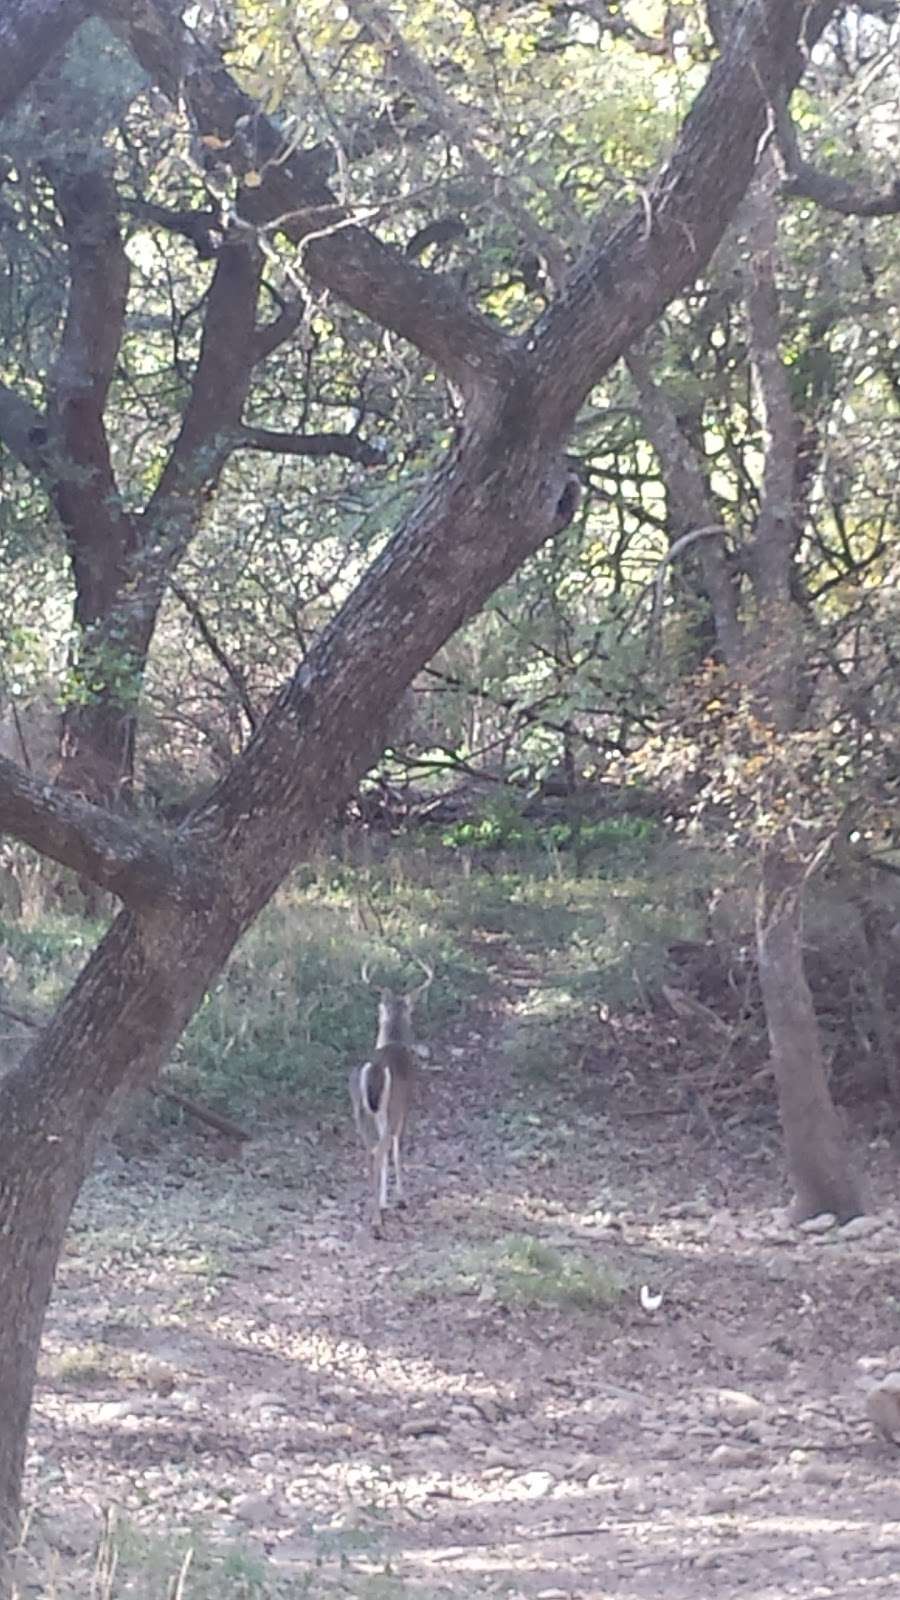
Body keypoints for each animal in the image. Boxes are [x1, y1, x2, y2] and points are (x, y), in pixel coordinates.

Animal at [349, 953, 432, 1228]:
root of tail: (374, 1069)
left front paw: (385, 1200)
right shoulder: (404, 1106)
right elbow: (396, 1149)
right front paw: (399, 1198)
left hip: (359, 1110)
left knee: (369, 1150)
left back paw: (371, 1208)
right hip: (391, 1105)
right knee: (381, 1149)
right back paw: (376, 1217)